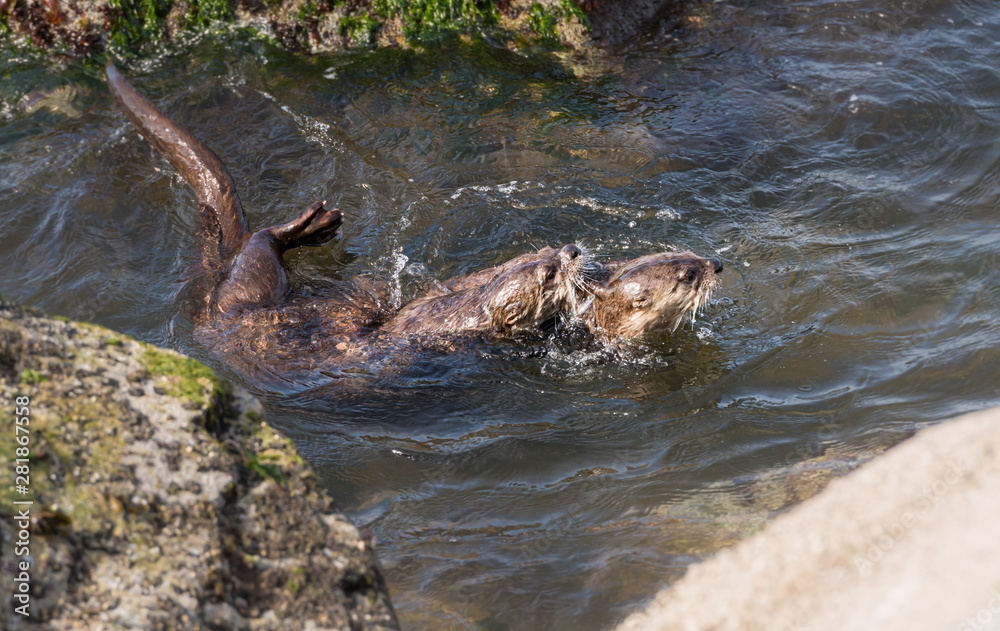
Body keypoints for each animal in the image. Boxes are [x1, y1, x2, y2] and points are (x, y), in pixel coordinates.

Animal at [105, 62, 586, 382]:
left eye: (546, 249)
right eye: (549, 273)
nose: (572, 250)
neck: (460, 313)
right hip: (250, 287)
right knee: (260, 243)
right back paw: (307, 225)